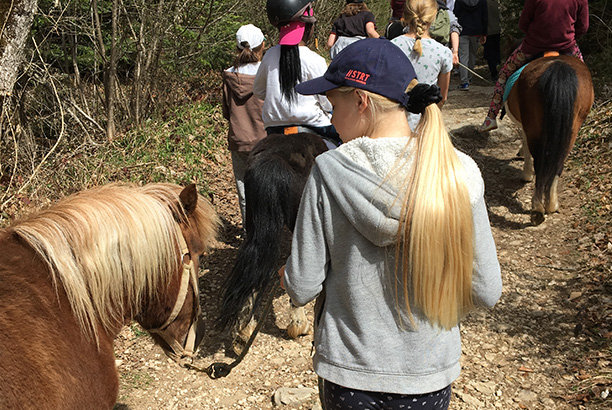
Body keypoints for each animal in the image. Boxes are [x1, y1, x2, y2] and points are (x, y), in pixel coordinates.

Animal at [504, 54, 596, 224]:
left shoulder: (524, 127)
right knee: (558, 163)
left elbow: (525, 146)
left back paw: (538, 209)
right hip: (572, 129)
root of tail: (558, 66)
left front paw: (526, 174)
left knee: (540, 163)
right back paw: (552, 204)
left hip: (533, 126)